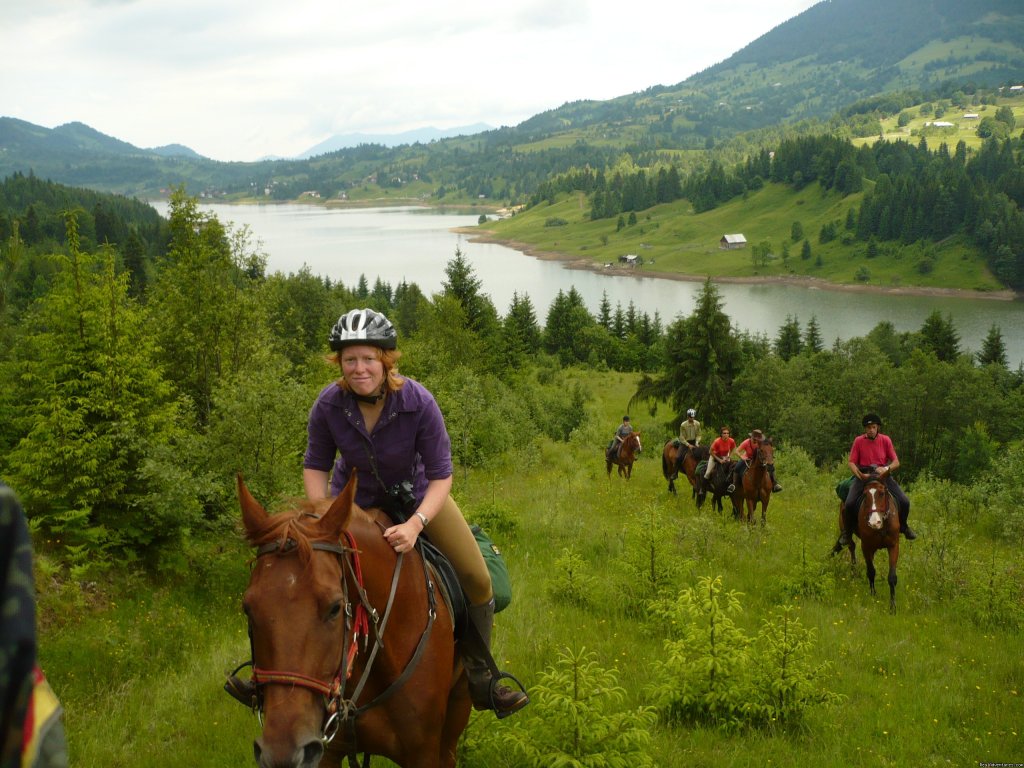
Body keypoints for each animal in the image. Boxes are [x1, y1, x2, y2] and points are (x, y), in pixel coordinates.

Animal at [835, 479, 901, 618]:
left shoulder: (893, 546)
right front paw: (873, 595)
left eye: (882, 493)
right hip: (845, 528)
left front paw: (892, 608)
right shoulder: (866, 546)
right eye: (865, 495)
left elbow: (892, 577)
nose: (874, 523)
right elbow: (871, 571)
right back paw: (853, 572)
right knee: (849, 544)